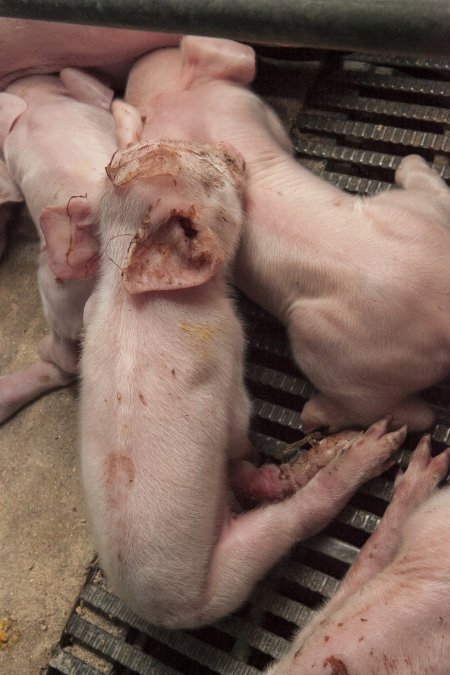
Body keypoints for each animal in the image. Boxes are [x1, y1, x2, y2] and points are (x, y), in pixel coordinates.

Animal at [76, 135, 408, 632]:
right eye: (207, 169)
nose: (229, 147)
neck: (126, 294)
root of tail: (166, 613)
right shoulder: (229, 351)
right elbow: (239, 425)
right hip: (235, 569)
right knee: (285, 514)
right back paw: (375, 443)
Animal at [113, 37, 450, 436]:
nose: (137, 63)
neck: (176, 102)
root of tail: (441, 308)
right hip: (411, 219)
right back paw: (412, 161)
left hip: (333, 348)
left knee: (395, 412)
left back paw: (311, 415)